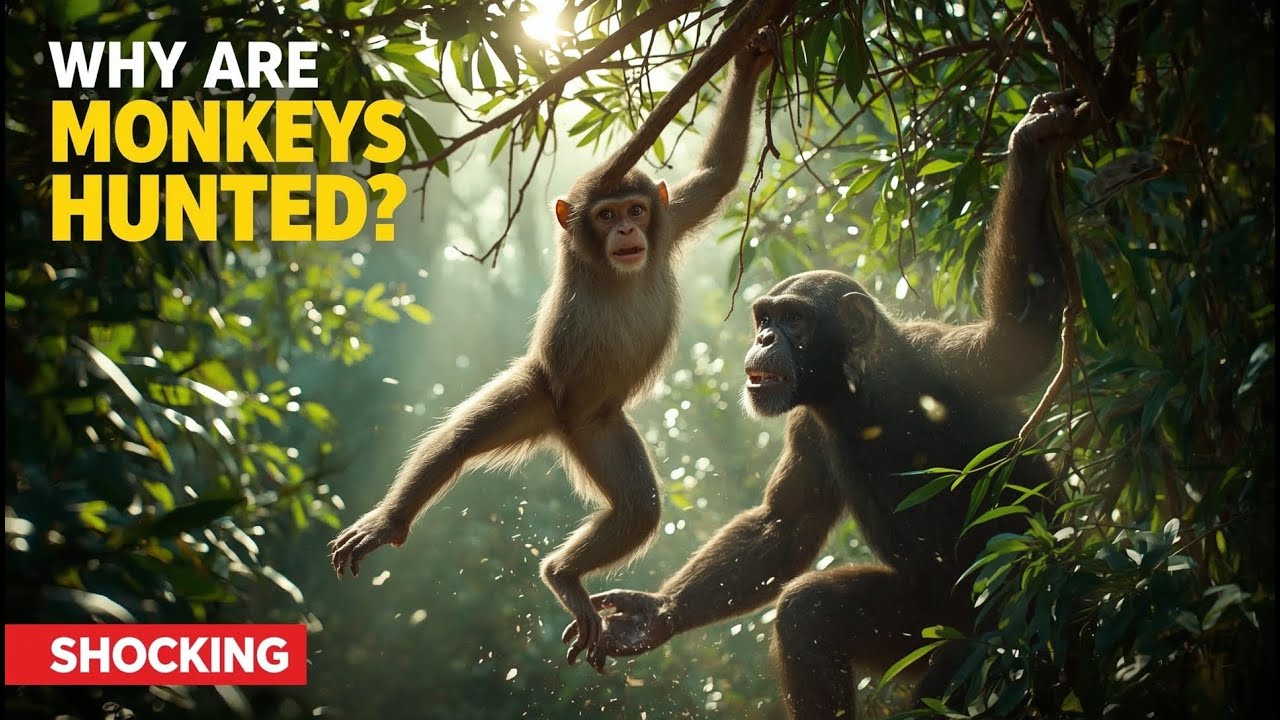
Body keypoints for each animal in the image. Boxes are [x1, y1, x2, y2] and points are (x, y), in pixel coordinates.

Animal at [329, 40, 775, 671]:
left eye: (635, 210)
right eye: (606, 216)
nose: (625, 232)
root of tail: (562, 428)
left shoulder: (671, 222)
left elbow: (716, 177)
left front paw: (748, 59)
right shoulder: (577, 247)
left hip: (601, 428)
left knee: (638, 508)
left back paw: (565, 574)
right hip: (541, 393)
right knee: (459, 440)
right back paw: (398, 524)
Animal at [560, 90, 1092, 715]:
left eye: (793, 320)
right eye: (765, 318)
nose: (766, 337)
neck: (857, 394)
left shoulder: (953, 362)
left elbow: (1020, 332)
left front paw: (1030, 146)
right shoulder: (806, 432)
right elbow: (783, 529)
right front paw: (651, 617)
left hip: (1013, 615)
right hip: (920, 629)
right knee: (810, 612)